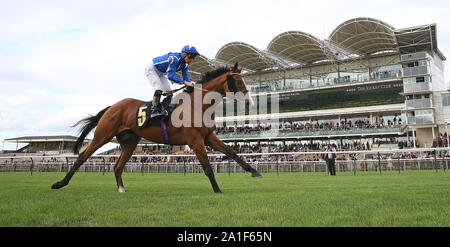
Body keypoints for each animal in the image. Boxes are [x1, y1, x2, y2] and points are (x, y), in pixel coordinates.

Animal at [51, 62, 262, 193]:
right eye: (237, 81)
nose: (250, 102)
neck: (197, 104)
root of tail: (113, 107)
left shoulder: (208, 137)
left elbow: (231, 152)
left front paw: (254, 172)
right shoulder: (195, 140)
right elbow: (207, 167)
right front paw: (217, 190)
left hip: (129, 142)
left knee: (117, 166)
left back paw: (121, 189)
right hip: (103, 135)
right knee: (82, 158)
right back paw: (59, 183)